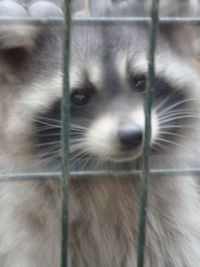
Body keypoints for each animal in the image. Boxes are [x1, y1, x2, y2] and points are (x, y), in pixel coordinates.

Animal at [0, 0, 200, 266]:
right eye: (79, 96)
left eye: (140, 82)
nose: (132, 135)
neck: (107, 168)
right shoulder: (28, 223)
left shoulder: (175, 215)